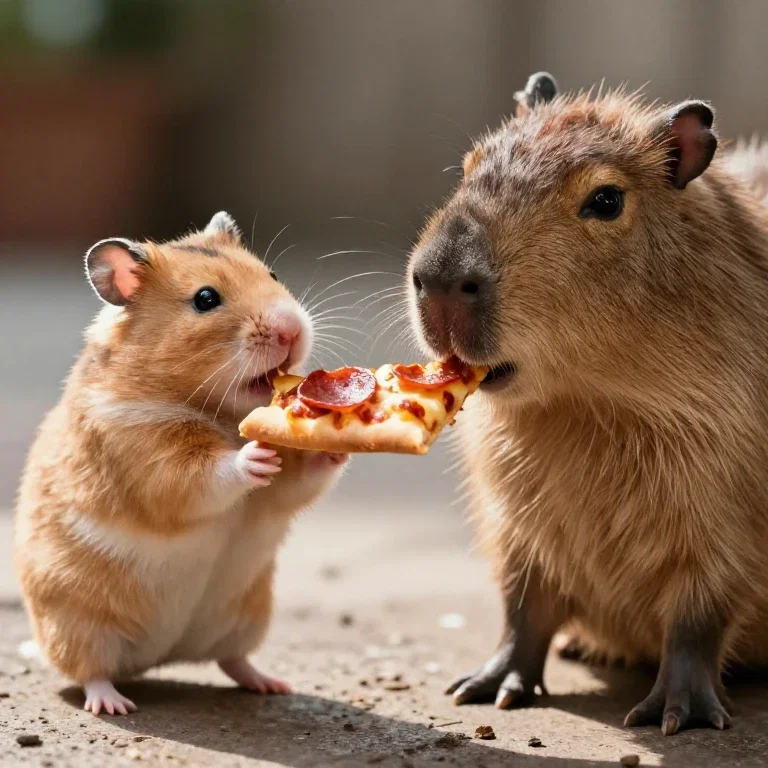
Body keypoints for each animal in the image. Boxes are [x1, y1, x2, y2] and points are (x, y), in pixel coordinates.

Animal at [14, 212, 348, 715]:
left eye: (272, 275)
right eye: (205, 299)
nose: (291, 329)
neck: (221, 412)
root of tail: (156, 657)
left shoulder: (280, 493)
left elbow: (299, 481)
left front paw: (337, 446)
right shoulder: (148, 458)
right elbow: (201, 478)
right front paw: (254, 456)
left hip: (247, 616)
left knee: (232, 660)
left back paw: (271, 684)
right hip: (77, 624)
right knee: (90, 671)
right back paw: (114, 704)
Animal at [406, 72, 768, 735]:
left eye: (605, 200)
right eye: (468, 167)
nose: (441, 279)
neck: (588, 406)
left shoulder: (727, 512)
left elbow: (699, 616)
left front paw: (678, 713)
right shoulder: (512, 517)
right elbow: (524, 605)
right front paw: (486, 685)